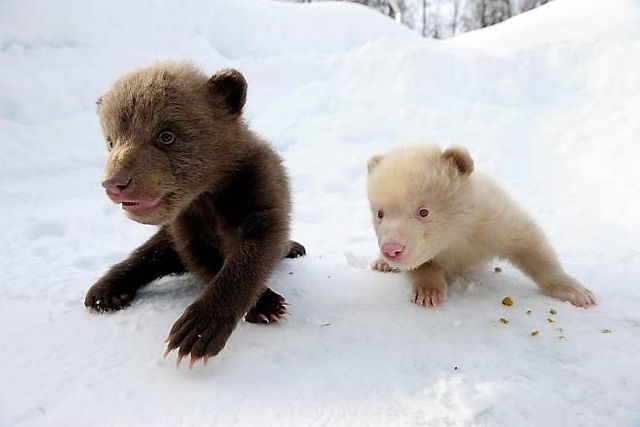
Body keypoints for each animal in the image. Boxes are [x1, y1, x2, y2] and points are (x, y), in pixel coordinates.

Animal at [84, 62, 305, 367]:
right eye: (111, 140)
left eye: (166, 135)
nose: (115, 183)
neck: (206, 194)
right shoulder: (186, 221)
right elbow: (203, 258)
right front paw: (263, 303)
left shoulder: (254, 188)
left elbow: (256, 248)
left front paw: (195, 332)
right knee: (152, 253)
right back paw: (105, 292)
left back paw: (294, 248)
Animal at [366, 144, 596, 308]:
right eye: (380, 213)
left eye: (423, 211)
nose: (392, 249)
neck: (455, 235)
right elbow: (421, 265)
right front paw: (428, 292)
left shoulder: (489, 220)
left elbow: (530, 242)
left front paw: (576, 292)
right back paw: (382, 264)